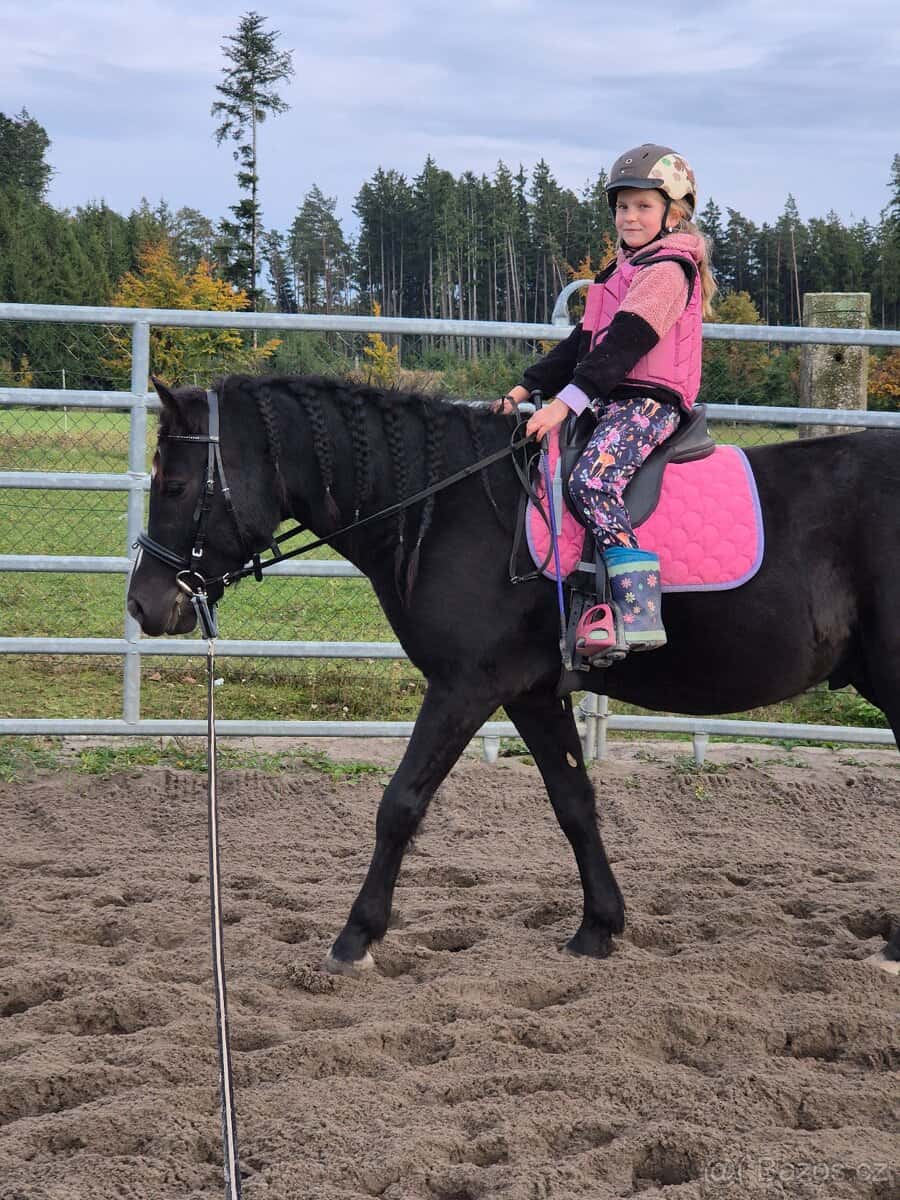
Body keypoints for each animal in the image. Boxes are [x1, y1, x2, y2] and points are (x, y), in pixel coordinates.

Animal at [127, 374, 900, 975]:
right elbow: (574, 803)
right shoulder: (529, 693)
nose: (143, 603)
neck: (451, 508)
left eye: (175, 481)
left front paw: (355, 939)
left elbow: (400, 804)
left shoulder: (465, 686)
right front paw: (598, 926)